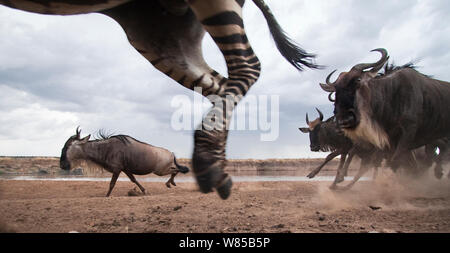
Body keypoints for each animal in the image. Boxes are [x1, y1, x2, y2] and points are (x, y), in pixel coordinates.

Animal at [0, 0, 320, 201]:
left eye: (68, 145)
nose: (63, 166)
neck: (103, 148)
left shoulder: (118, 168)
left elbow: (116, 183)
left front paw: (111, 195)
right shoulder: (126, 168)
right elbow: (132, 181)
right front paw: (138, 191)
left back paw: (195, 171)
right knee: (220, 88)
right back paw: (211, 168)